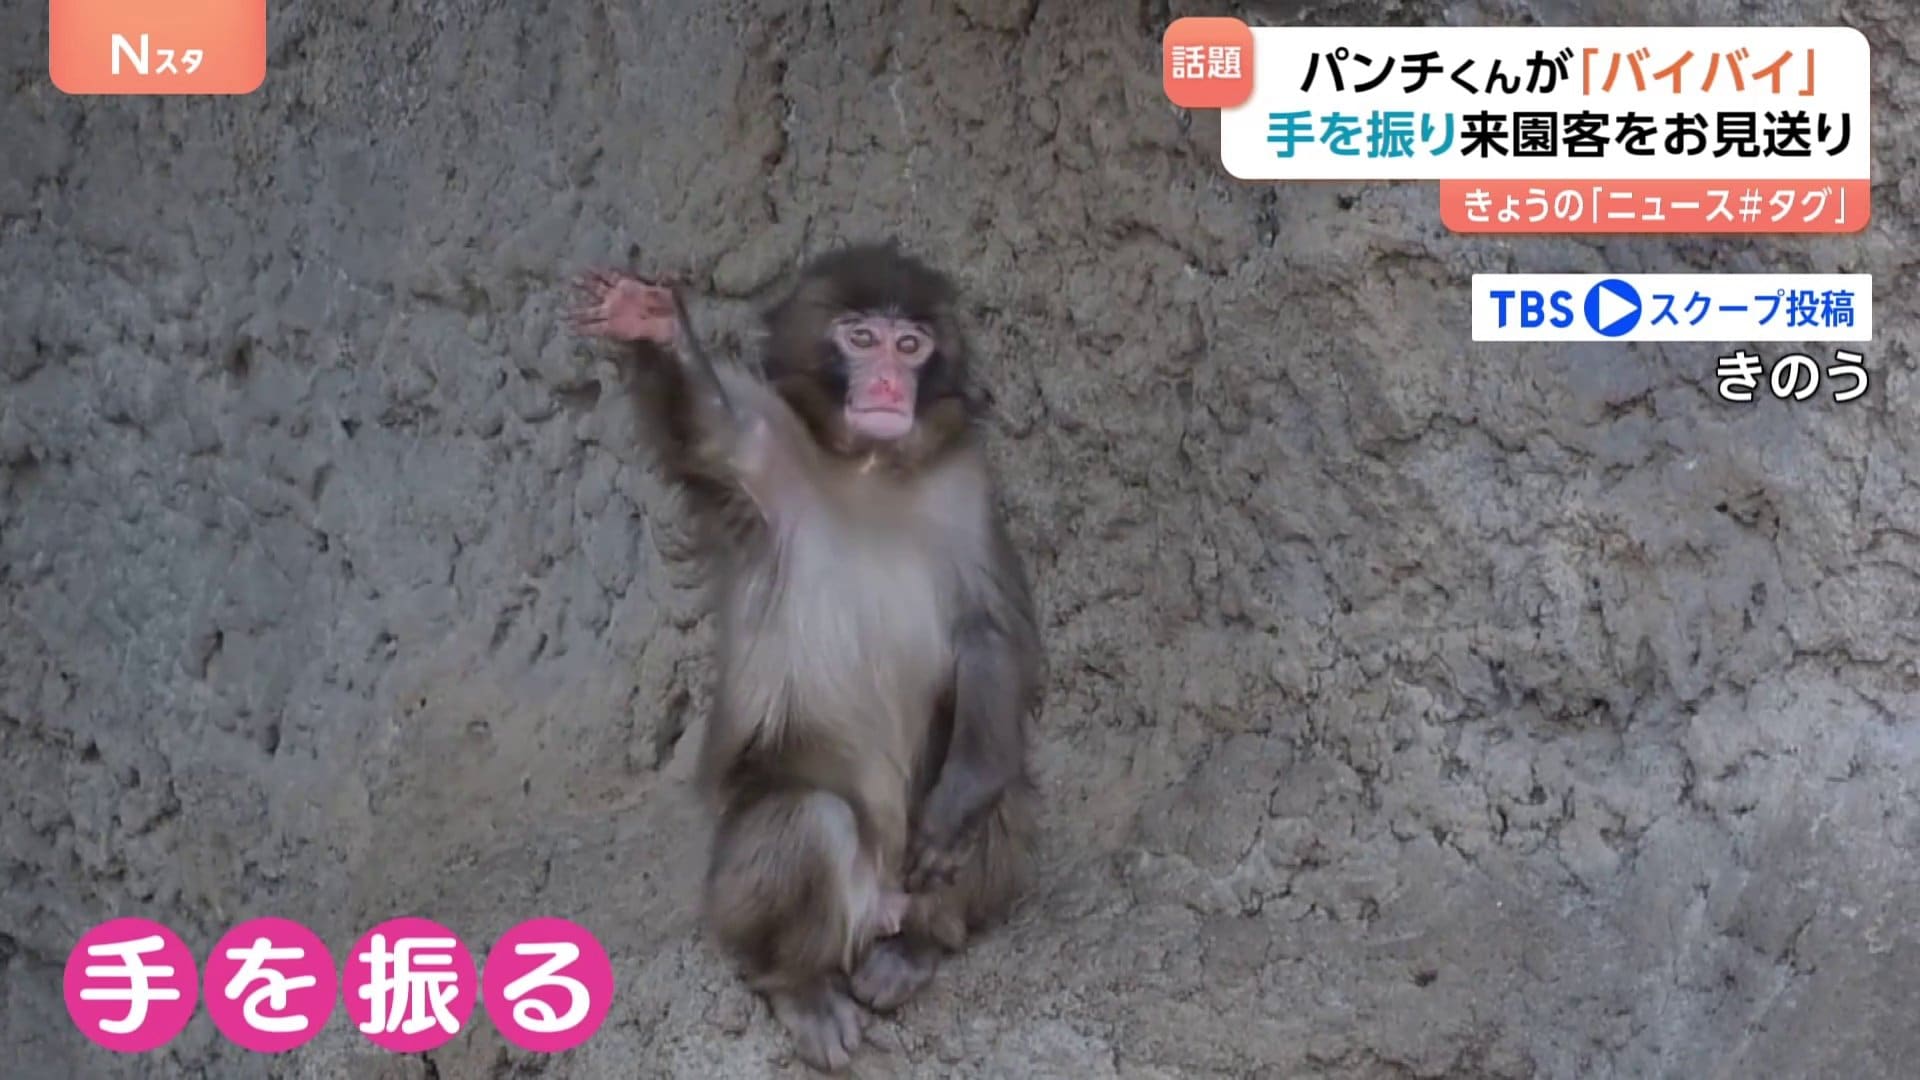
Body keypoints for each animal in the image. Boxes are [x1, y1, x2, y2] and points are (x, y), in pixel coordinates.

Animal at [568, 244, 1041, 1072]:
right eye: (860, 338)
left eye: (910, 345)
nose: (886, 385)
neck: (872, 465)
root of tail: (880, 905)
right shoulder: (759, 450)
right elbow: (705, 427)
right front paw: (649, 320)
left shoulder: (967, 488)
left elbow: (992, 632)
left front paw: (960, 799)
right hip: (741, 898)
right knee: (806, 818)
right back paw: (801, 988)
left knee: (1000, 782)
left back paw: (917, 947)